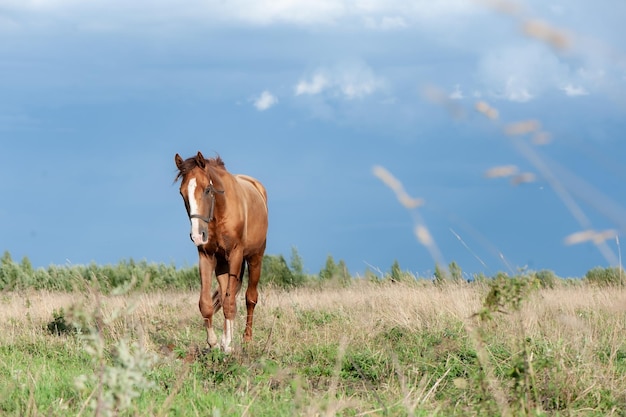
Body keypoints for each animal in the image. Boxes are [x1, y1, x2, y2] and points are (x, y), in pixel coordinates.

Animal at [174, 151, 266, 352]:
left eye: (207, 190)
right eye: (182, 192)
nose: (197, 235)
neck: (220, 212)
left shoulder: (236, 255)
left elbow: (231, 303)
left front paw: (229, 345)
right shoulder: (206, 256)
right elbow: (207, 304)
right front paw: (215, 342)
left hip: (255, 258)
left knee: (250, 298)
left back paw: (246, 340)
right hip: (223, 265)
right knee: (225, 297)